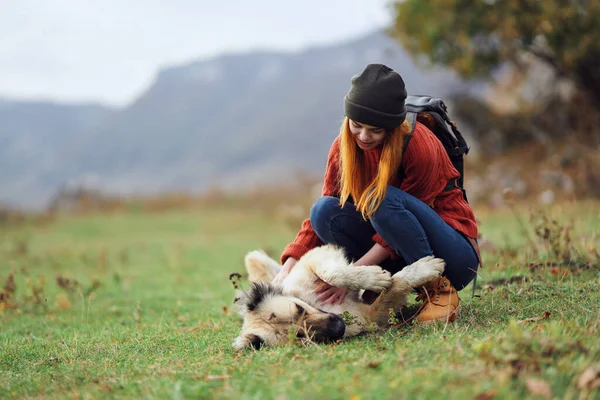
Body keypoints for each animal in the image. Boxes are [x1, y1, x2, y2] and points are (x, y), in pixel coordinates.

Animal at [234, 244, 446, 350]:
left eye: (299, 308)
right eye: (300, 335)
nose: (339, 327)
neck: (315, 303)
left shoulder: (315, 256)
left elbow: (332, 273)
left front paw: (374, 278)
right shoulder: (370, 314)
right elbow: (394, 288)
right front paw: (423, 270)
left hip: (253, 258)